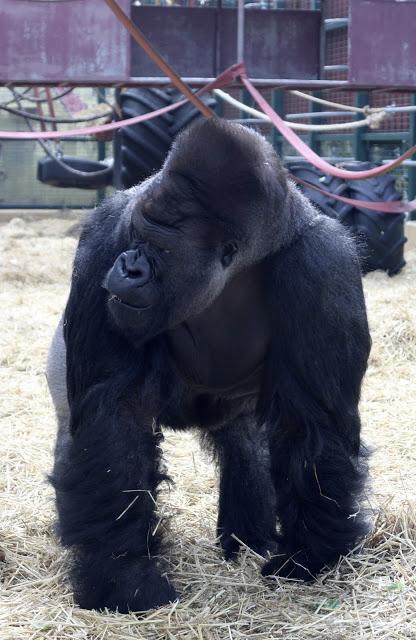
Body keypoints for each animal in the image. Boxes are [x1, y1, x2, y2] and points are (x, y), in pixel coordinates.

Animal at [47, 117, 372, 612]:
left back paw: (247, 540)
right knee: (75, 426)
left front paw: (308, 556)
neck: (238, 267)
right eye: (136, 238)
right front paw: (124, 576)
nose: (128, 268)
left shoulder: (322, 262)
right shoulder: (106, 235)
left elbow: (313, 426)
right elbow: (112, 417)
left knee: (245, 443)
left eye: (158, 248)